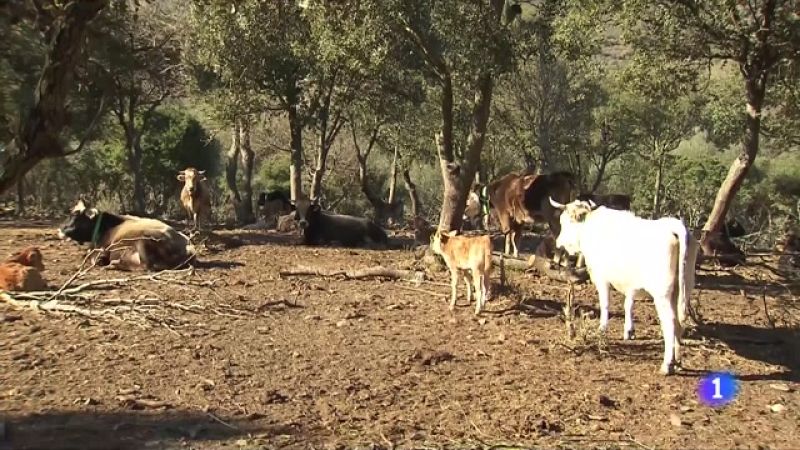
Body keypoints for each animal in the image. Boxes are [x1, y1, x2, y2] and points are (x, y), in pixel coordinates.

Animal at [58, 199, 197, 271]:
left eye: (75, 215)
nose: (59, 230)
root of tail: (188, 246)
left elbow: (93, 257)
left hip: (143, 241)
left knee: (147, 267)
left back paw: (115, 264)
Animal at [549, 198, 699, 375]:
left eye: (565, 221)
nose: (558, 243)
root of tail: (673, 226)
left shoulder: (602, 277)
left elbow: (605, 304)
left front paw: (602, 329)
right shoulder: (630, 283)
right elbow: (628, 303)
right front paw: (629, 330)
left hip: (662, 294)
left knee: (670, 322)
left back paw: (667, 365)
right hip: (683, 288)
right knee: (678, 323)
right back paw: (678, 362)